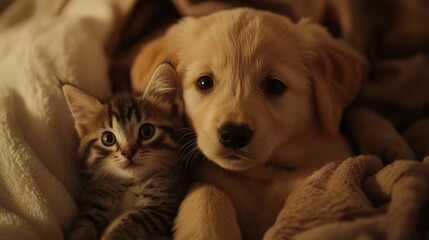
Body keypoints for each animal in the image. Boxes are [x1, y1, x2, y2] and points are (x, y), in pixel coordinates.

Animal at [63, 62, 186, 239]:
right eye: (108, 139)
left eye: (147, 131)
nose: (128, 153)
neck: (130, 184)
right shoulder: (95, 204)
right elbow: (83, 226)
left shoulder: (163, 207)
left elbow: (129, 219)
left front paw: (112, 234)